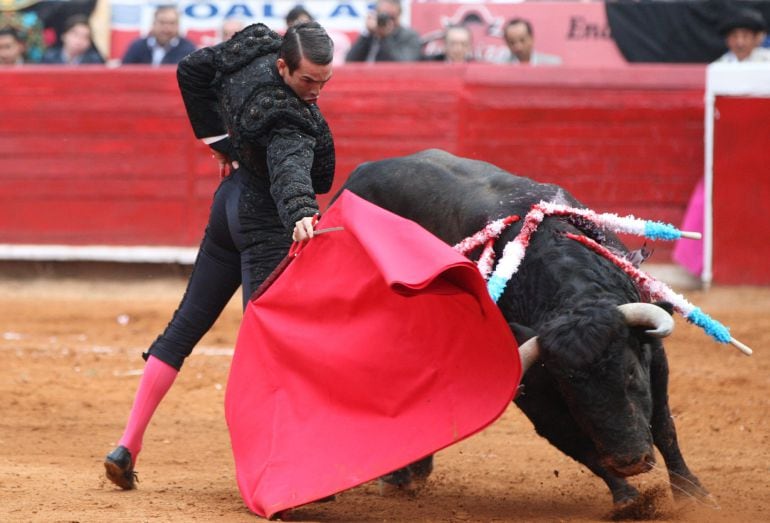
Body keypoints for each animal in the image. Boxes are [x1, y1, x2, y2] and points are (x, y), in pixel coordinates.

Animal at [336, 148, 708, 512]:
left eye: (631, 373)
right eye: (570, 389)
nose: (628, 462)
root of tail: (355, 177)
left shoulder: (653, 355)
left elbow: (664, 425)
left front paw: (692, 494)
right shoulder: (534, 389)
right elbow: (577, 445)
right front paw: (628, 498)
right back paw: (400, 476)